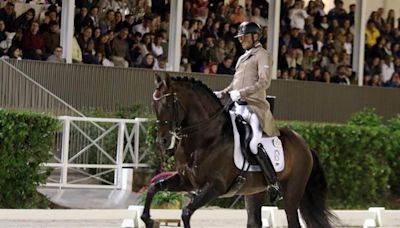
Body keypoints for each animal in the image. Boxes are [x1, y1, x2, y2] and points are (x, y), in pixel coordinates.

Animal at [142, 75, 336, 228]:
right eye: (153, 105)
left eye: (168, 104)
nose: (161, 141)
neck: (205, 137)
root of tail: (305, 145)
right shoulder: (186, 181)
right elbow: (153, 187)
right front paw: (148, 220)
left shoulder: (216, 186)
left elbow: (186, 212)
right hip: (254, 192)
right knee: (254, 222)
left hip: (292, 193)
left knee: (292, 221)